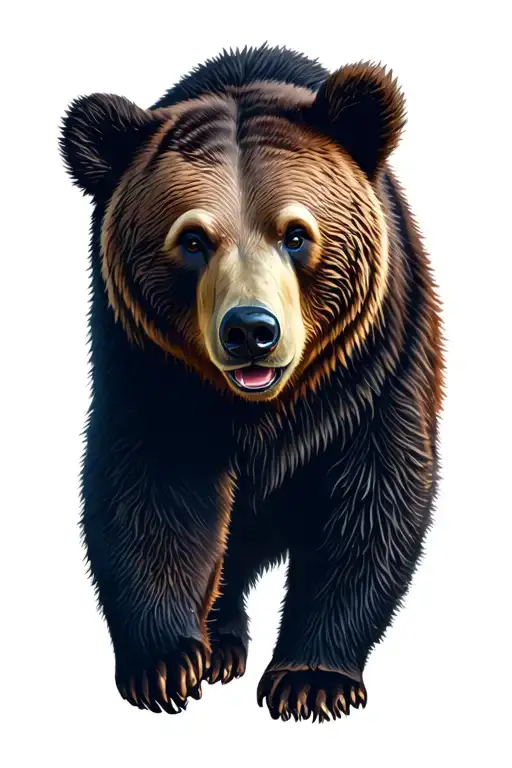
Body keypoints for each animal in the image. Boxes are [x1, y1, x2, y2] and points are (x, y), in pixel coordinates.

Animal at [60, 44, 444, 722]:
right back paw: (219, 646)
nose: (250, 331)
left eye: (296, 233)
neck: (260, 406)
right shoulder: (148, 367)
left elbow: (369, 499)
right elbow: (151, 491)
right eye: (192, 239)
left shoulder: (377, 367)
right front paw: (166, 666)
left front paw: (311, 680)